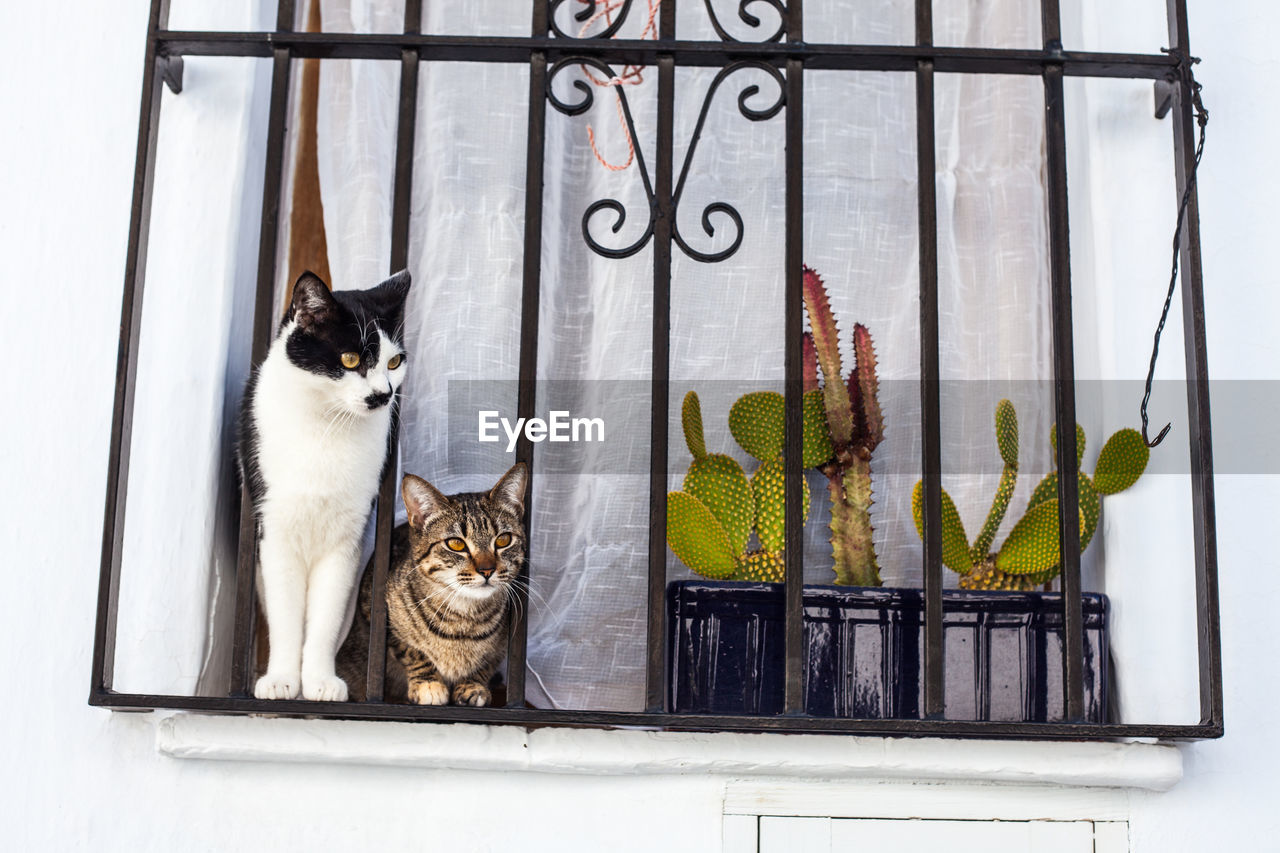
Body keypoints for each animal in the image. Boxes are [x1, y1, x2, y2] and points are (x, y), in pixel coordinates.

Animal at [234, 268, 404, 701]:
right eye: (350, 359)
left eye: (395, 361)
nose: (383, 395)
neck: (327, 424)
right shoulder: (274, 533)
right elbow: (286, 619)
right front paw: (280, 680)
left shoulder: (347, 542)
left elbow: (325, 621)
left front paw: (321, 681)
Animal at [337, 461, 527, 701]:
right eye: (456, 544)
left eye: (503, 540)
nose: (487, 570)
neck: (464, 618)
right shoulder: (378, 615)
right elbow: (412, 651)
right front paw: (428, 683)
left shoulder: (502, 646)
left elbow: (486, 664)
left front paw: (472, 684)